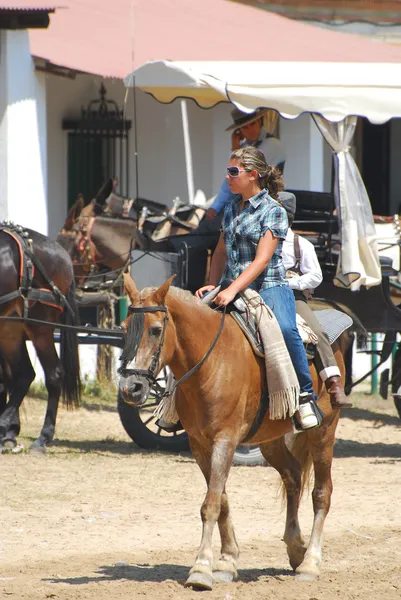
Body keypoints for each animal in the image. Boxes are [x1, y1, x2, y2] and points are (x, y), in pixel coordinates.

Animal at [0, 225, 80, 454]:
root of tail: (63, 254)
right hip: (10, 328)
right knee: (23, 374)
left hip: (40, 327)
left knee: (53, 374)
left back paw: (42, 437)